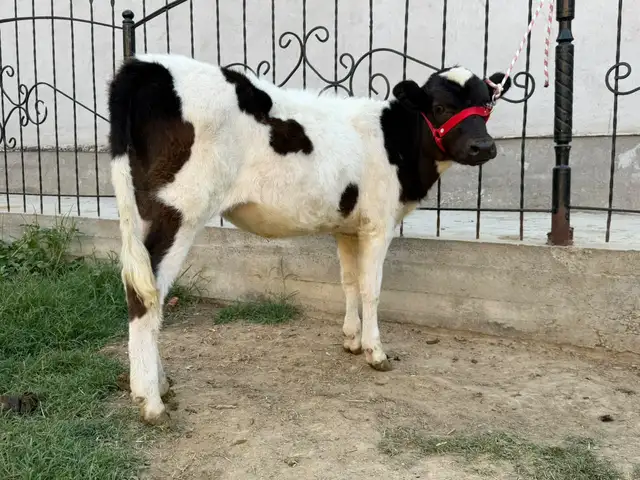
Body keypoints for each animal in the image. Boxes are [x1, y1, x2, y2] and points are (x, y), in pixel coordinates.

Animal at [108, 53, 511, 424]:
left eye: (486, 106)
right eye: (441, 107)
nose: (483, 147)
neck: (394, 140)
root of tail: (146, 65)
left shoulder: (347, 227)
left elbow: (349, 282)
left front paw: (351, 339)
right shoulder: (379, 224)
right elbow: (372, 288)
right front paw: (375, 351)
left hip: (141, 212)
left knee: (140, 287)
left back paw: (158, 385)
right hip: (179, 211)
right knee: (147, 296)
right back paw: (152, 401)